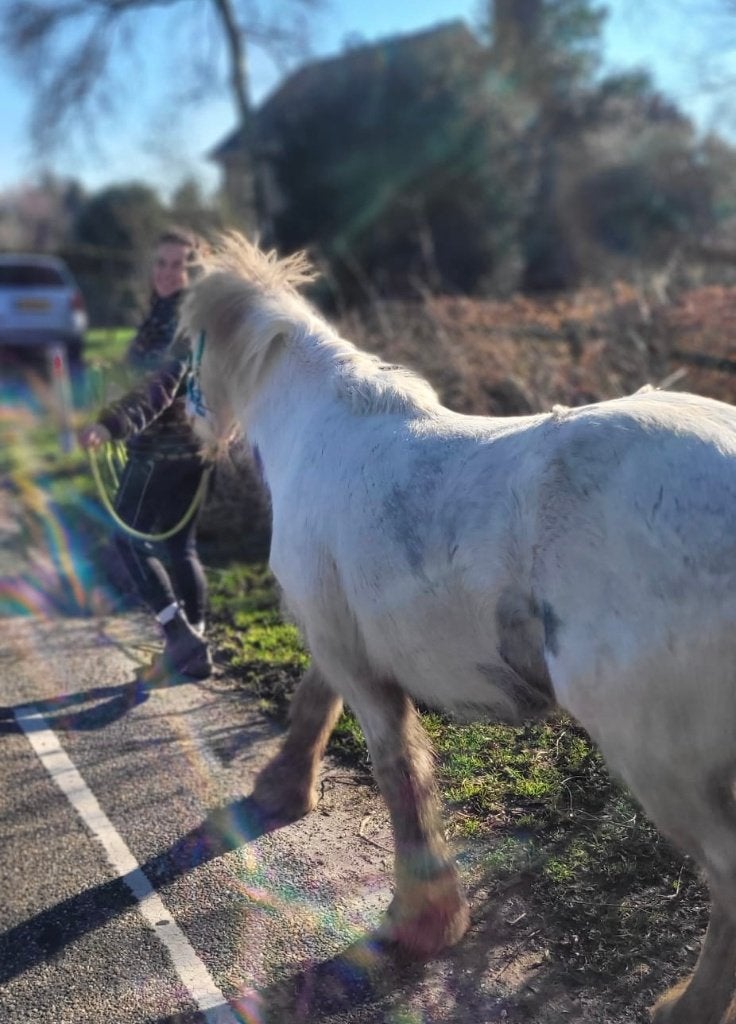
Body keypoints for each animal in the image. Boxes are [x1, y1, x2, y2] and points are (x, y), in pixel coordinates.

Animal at [180, 230, 736, 1024]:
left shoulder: (355, 661)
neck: (318, 429)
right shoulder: (339, 642)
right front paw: (280, 790)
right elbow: (314, 707)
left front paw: (420, 922)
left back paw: (687, 1005)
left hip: (661, 758)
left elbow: (400, 772)